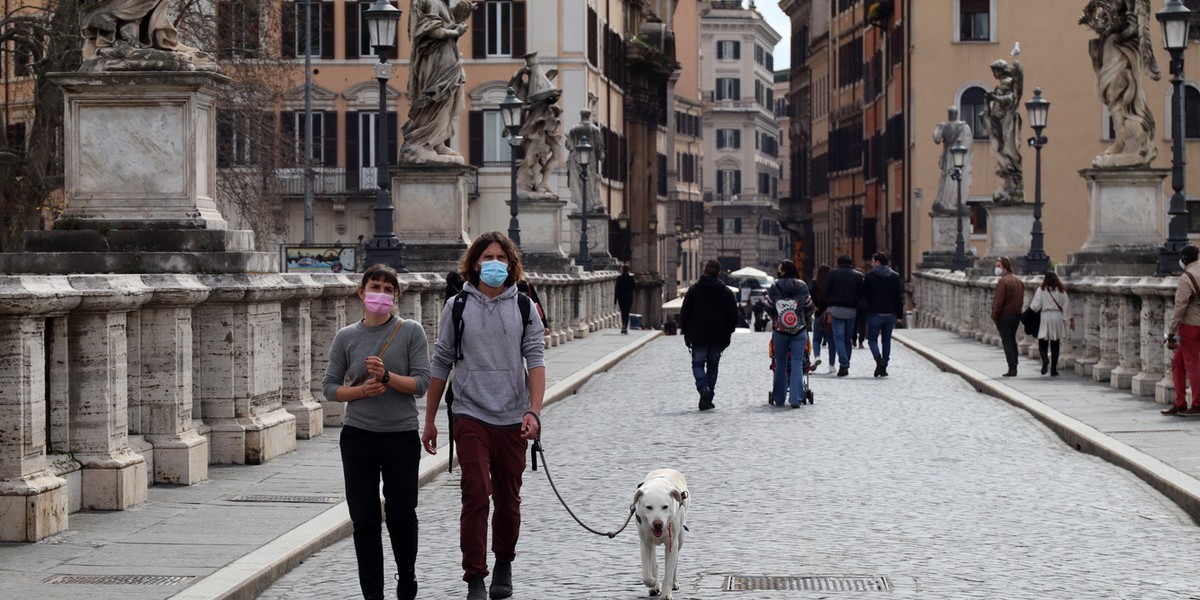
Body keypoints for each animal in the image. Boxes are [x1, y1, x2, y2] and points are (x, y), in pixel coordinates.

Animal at [633, 468, 691, 600]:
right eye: (649, 507)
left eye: (665, 507)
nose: (658, 523)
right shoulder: (645, 543)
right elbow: (646, 574)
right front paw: (653, 583)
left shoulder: (672, 543)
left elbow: (669, 571)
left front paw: (666, 594)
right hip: (651, 543)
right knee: (653, 562)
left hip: (680, 538)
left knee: (675, 563)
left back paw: (674, 583)